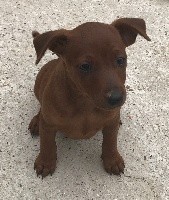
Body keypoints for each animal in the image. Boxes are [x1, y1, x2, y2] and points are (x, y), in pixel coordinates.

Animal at [29, 18, 151, 177]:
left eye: (120, 60)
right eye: (85, 66)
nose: (116, 98)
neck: (85, 104)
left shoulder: (110, 125)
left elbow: (110, 142)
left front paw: (112, 159)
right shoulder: (48, 125)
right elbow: (46, 144)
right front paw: (45, 162)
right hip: (39, 84)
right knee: (40, 106)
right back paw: (36, 121)